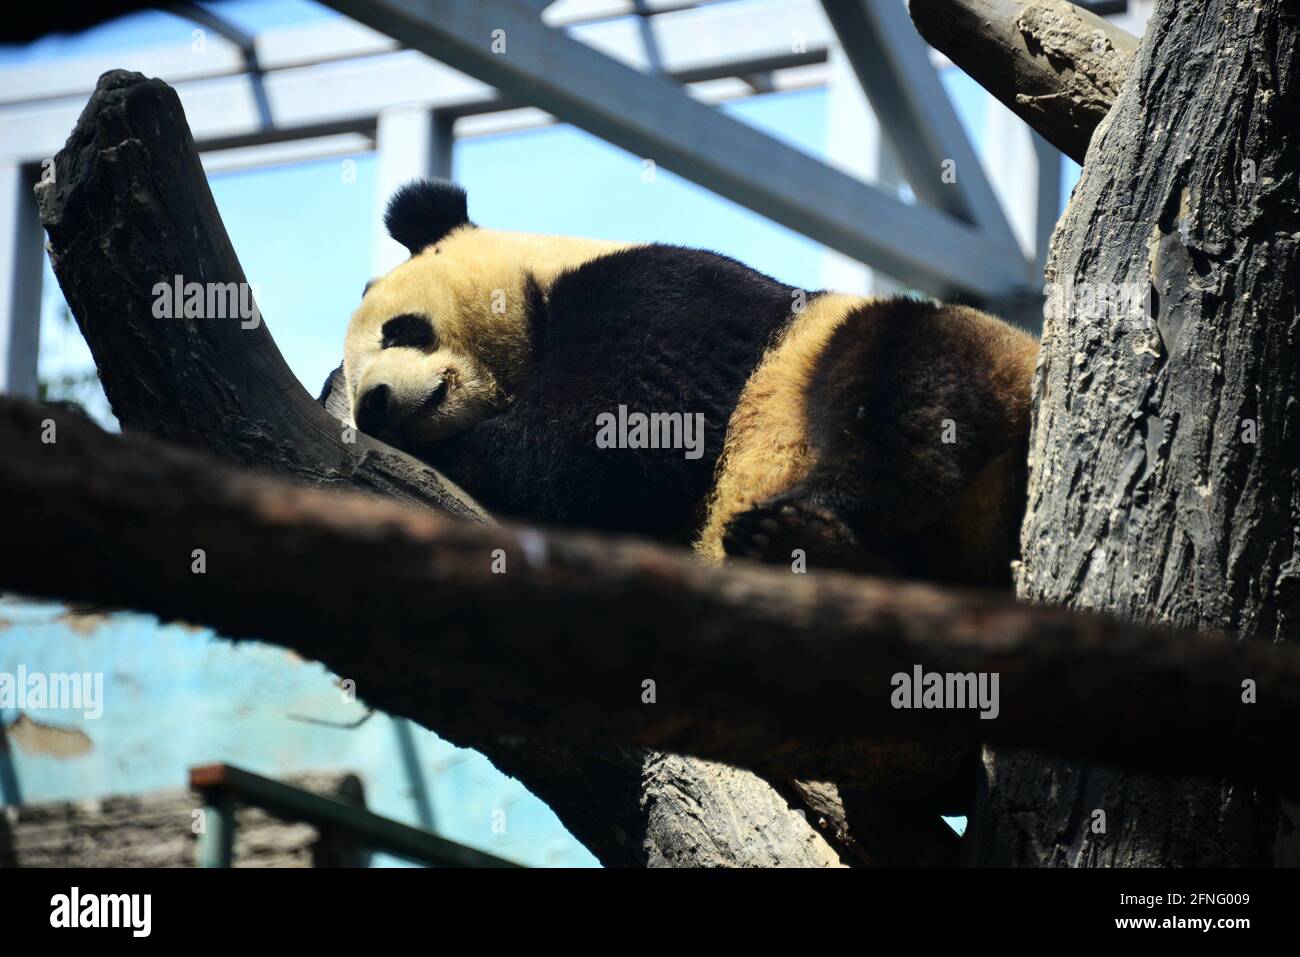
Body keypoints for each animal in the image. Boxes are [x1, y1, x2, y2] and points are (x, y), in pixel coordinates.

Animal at [330, 178, 1040, 582]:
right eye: (359, 405)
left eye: (401, 329)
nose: (378, 406)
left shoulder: (662, 293)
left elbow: (626, 430)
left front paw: (463, 454)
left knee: (903, 380)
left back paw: (803, 528)